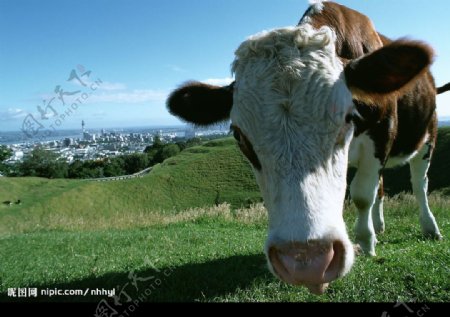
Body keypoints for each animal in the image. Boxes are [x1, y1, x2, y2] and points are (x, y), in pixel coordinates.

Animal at [167, 1, 444, 296]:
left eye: (348, 118)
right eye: (238, 135)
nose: (307, 261)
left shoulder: (382, 135)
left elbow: (361, 195)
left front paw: (366, 243)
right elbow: (368, 193)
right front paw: (369, 235)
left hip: (429, 135)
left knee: (418, 184)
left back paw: (428, 227)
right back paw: (379, 226)